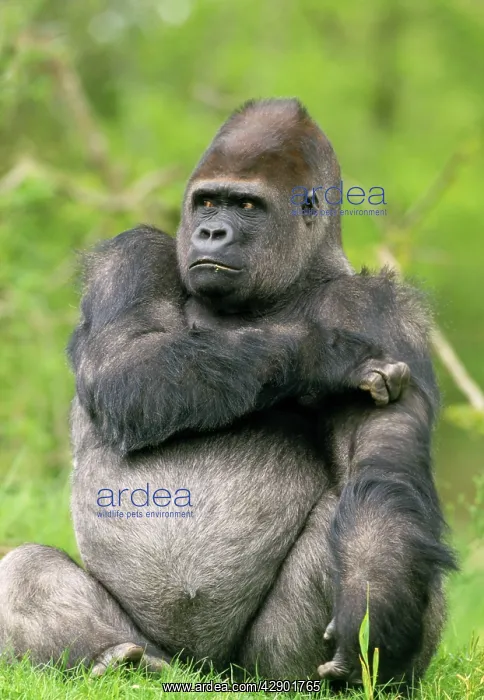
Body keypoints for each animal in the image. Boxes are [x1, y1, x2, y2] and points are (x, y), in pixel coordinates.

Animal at [0, 98, 456, 688]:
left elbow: (379, 471)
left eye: (246, 206)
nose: (212, 232)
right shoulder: (131, 256)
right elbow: (125, 366)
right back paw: (111, 654)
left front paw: (374, 600)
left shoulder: (384, 310)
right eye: (208, 202)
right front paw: (323, 353)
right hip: (159, 649)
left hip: (257, 667)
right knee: (24, 569)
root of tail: (203, 670)